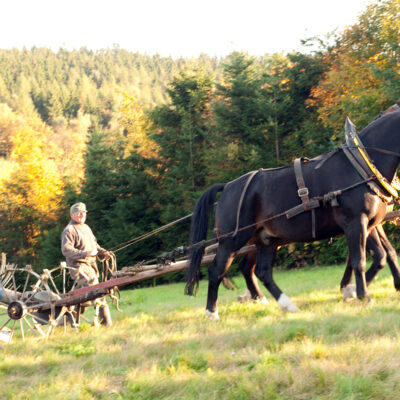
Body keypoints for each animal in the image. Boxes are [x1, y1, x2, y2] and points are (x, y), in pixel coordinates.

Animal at [186, 109, 400, 318]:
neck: (361, 164)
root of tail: (228, 186)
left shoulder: (370, 224)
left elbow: (382, 255)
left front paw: (354, 290)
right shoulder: (356, 222)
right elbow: (360, 260)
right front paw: (362, 295)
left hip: (267, 240)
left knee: (261, 271)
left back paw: (285, 304)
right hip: (232, 240)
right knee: (217, 270)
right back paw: (212, 312)